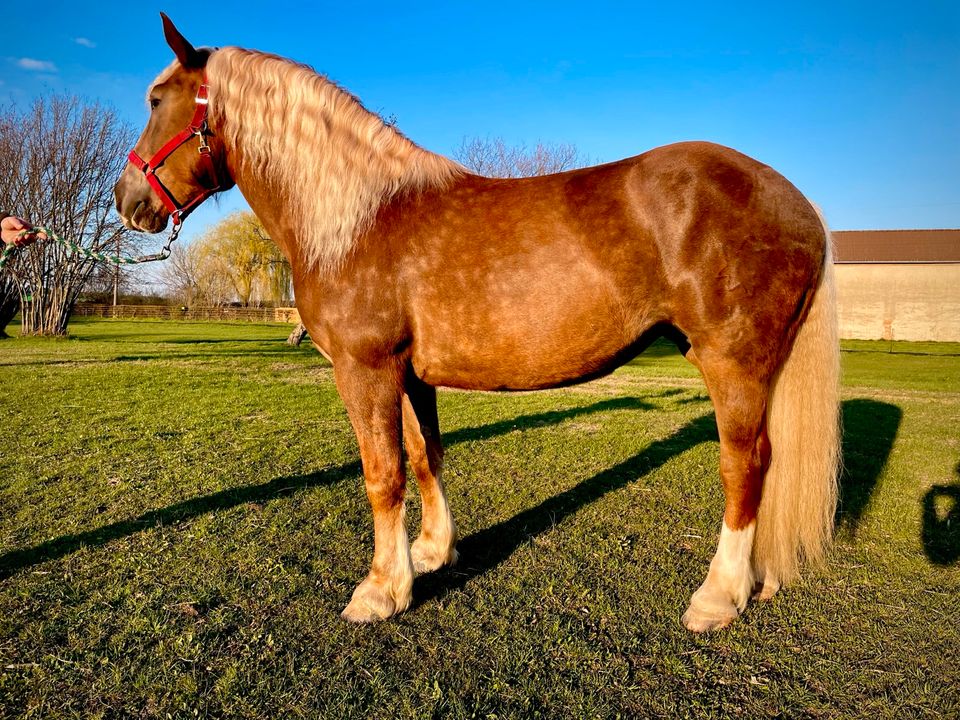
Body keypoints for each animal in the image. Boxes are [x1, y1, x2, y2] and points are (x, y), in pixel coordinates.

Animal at [114, 15, 840, 632]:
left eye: (155, 99)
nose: (128, 202)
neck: (360, 217)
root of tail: (795, 201)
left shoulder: (364, 368)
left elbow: (381, 475)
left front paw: (380, 591)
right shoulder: (409, 373)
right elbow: (424, 457)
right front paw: (431, 555)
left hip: (733, 361)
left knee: (744, 464)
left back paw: (718, 596)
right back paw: (758, 581)